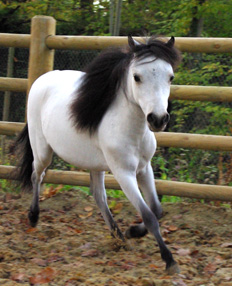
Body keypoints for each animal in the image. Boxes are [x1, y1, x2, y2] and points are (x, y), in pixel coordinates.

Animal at [12, 36, 181, 274]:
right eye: (137, 77)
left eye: (170, 77)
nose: (157, 119)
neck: (133, 131)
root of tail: (41, 80)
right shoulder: (123, 173)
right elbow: (149, 215)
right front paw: (169, 260)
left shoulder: (144, 168)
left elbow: (157, 209)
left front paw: (132, 232)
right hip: (42, 151)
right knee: (37, 175)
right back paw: (33, 217)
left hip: (95, 165)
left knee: (99, 196)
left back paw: (119, 237)